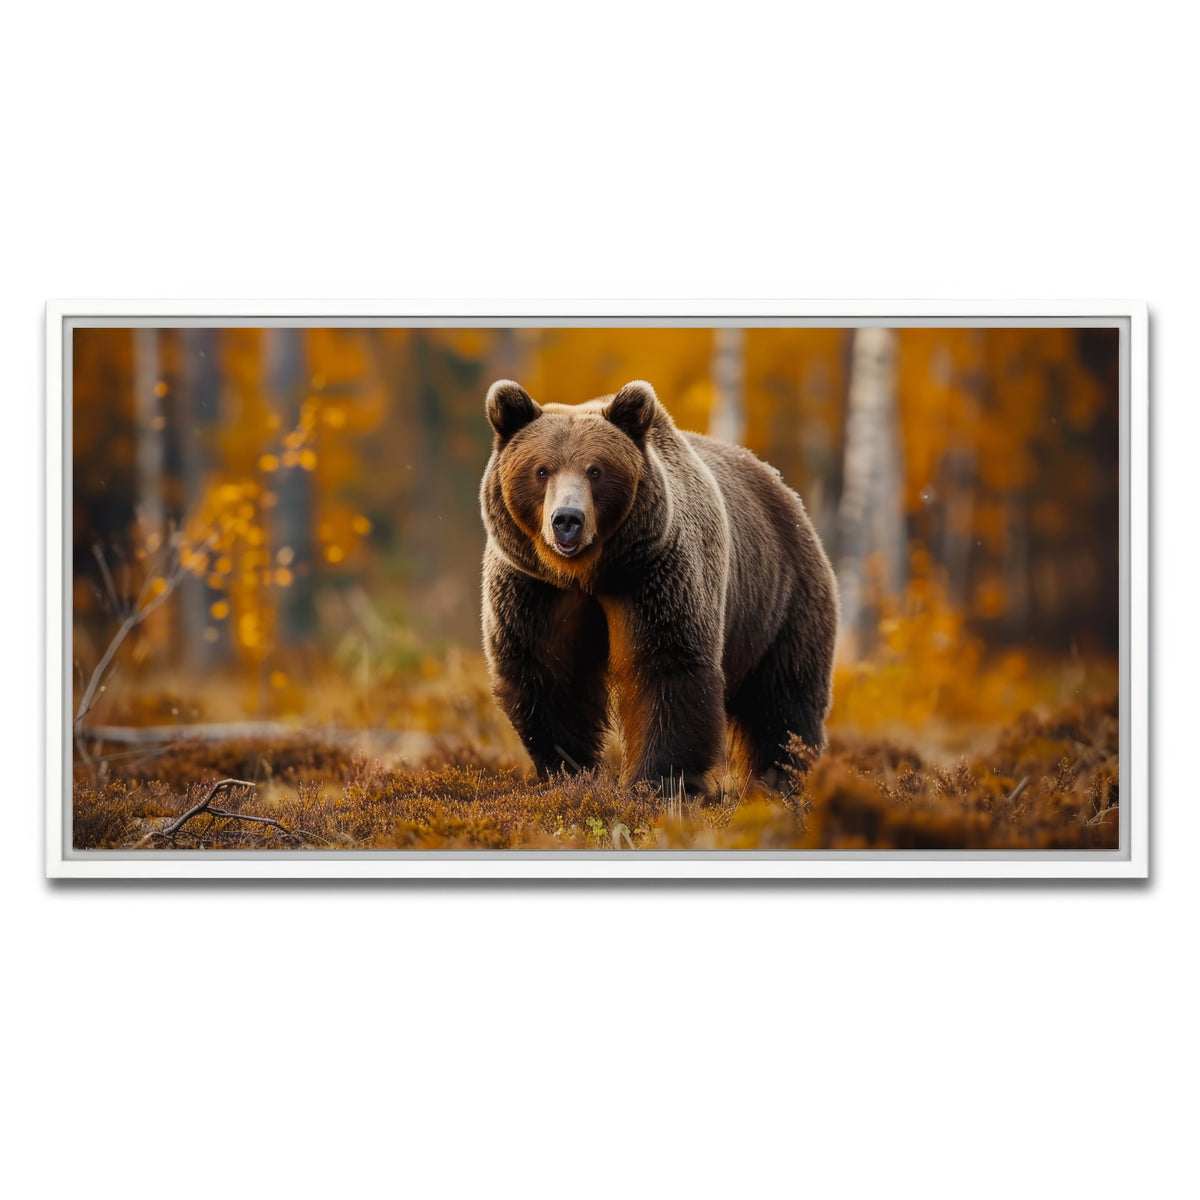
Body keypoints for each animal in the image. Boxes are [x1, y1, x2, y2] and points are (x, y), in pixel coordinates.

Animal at [479, 377, 838, 796]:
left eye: (596, 470)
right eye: (541, 470)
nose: (567, 520)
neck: (589, 572)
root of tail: (784, 490)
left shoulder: (654, 576)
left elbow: (666, 667)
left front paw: (656, 781)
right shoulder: (536, 590)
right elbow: (549, 675)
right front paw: (570, 771)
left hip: (782, 600)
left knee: (783, 700)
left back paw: (781, 779)